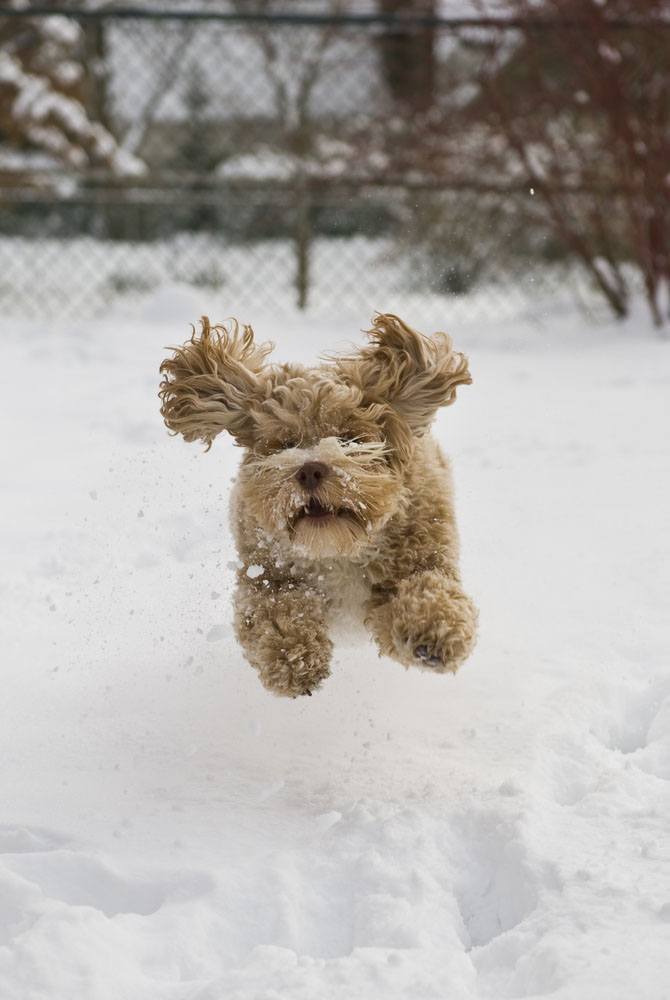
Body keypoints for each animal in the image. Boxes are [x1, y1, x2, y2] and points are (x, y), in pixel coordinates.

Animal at [160, 312, 480, 696]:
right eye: (285, 443)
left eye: (350, 438)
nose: (310, 469)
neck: (337, 549)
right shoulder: (266, 576)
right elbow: (276, 610)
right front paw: (293, 658)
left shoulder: (423, 554)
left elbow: (429, 588)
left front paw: (433, 632)